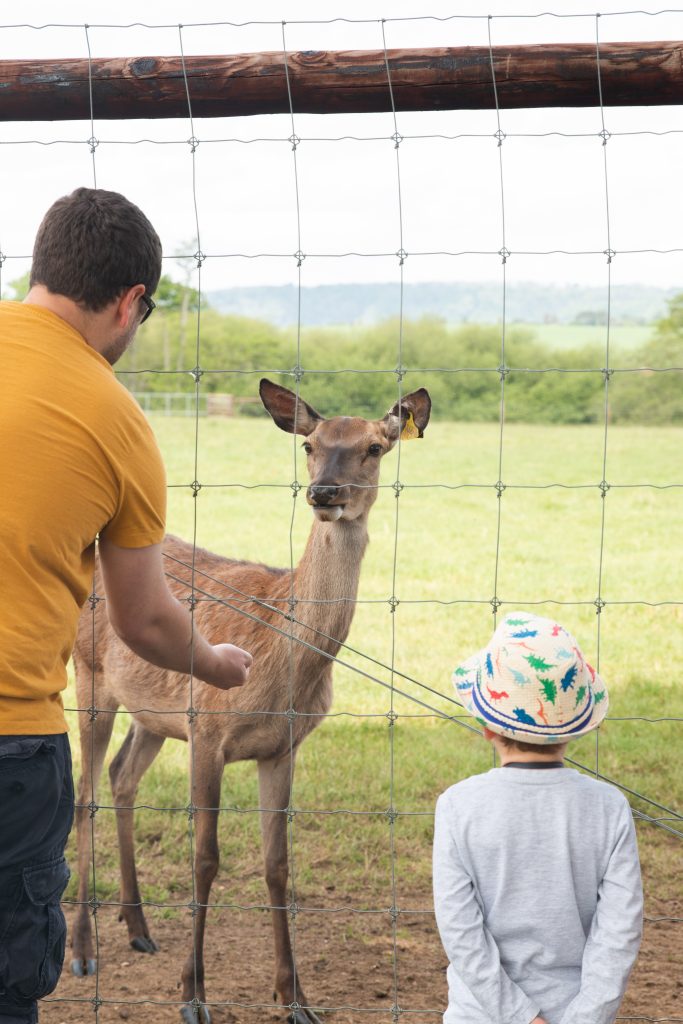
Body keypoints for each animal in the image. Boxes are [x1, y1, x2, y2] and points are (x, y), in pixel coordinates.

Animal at [70, 380, 432, 1024]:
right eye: (310, 445)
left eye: (374, 447)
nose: (325, 492)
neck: (281, 664)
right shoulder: (209, 731)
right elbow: (205, 858)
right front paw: (193, 996)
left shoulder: (282, 747)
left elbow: (277, 865)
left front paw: (296, 998)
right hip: (90, 678)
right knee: (84, 792)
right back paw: (85, 950)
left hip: (154, 713)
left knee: (121, 776)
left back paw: (138, 928)